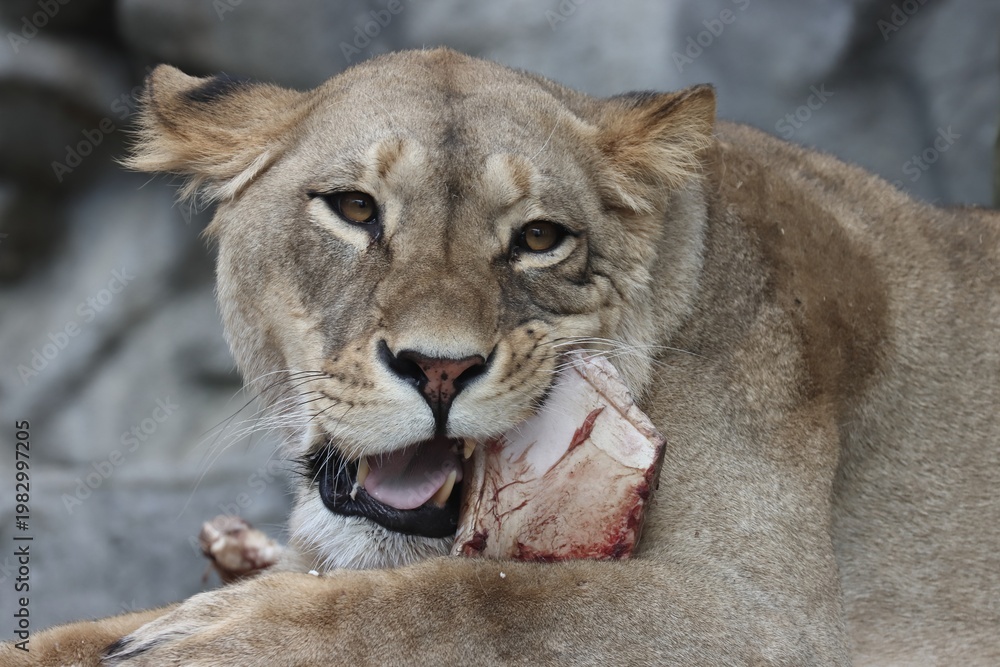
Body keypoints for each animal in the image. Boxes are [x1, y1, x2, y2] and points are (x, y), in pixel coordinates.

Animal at [4, 48, 998, 666]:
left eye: (539, 238)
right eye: (355, 209)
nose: (439, 369)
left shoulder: (760, 616)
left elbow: (485, 600)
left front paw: (215, 635)